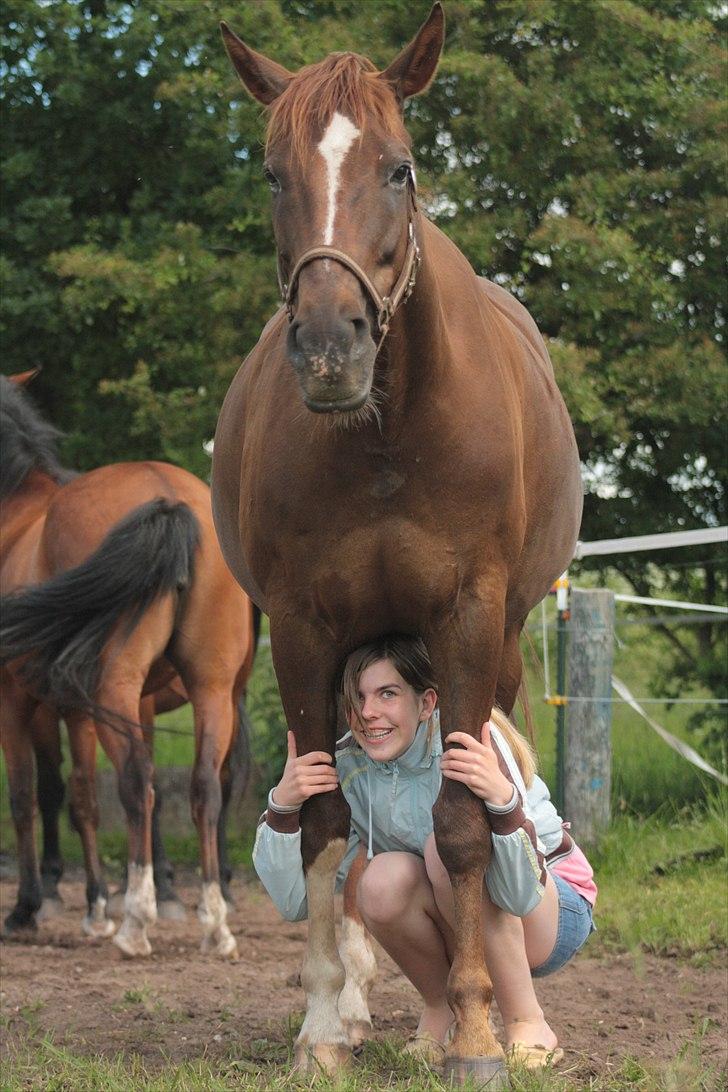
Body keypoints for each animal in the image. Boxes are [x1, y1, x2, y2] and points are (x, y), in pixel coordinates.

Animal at [0, 373, 256, 956]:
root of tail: (169, 496)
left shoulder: (20, 701)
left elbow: (30, 797)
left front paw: (29, 906)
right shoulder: (74, 709)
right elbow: (78, 798)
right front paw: (93, 903)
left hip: (116, 689)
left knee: (139, 783)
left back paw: (139, 919)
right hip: (212, 688)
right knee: (206, 786)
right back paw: (214, 920)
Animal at [210, 4, 580, 1083]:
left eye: (399, 167)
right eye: (271, 172)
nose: (331, 345)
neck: (385, 434)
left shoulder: (467, 618)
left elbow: (461, 823)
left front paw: (476, 1036)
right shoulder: (302, 627)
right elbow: (325, 826)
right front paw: (324, 1026)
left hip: (504, 646)